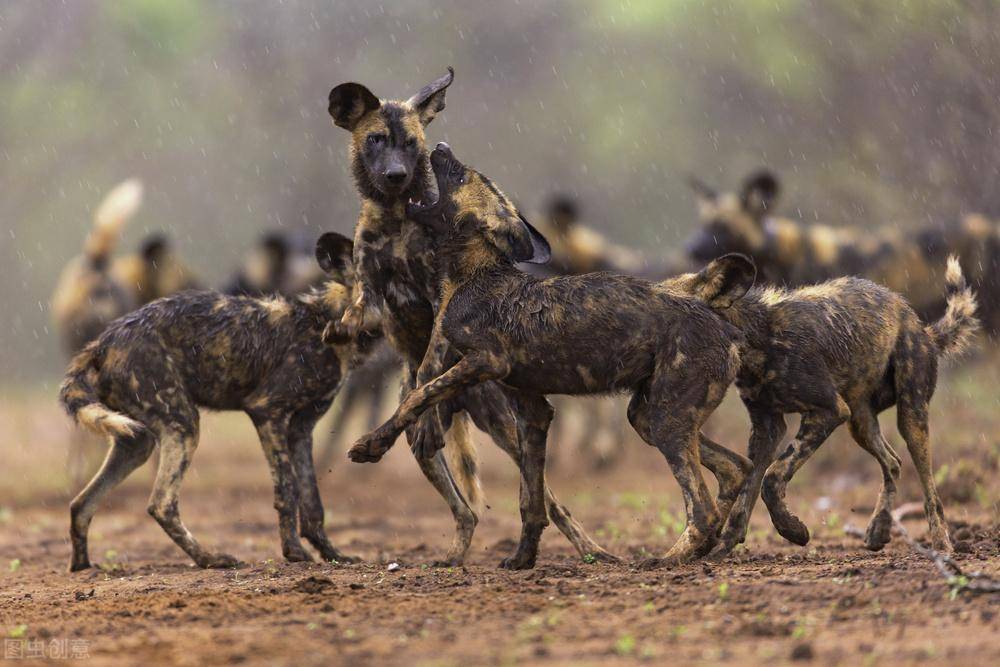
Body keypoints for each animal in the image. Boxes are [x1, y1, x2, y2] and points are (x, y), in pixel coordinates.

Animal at [59, 232, 378, 572]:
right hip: (183, 425)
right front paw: (294, 552)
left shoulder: (301, 428)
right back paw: (210, 559)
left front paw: (332, 554)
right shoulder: (267, 410)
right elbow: (288, 489)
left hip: (136, 441)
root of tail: (101, 344)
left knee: (81, 503)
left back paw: (82, 566)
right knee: (161, 504)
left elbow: (313, 501)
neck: (327, 320)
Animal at [328, 70, 612, 568]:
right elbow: (358, 305)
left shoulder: (438, 296)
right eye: (376, 140)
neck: (397, 217)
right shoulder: (368, 278)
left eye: (413, 145)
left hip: (504, 427)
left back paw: (588, 548)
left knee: (548, 499)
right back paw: (454, 552)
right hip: (426, 447)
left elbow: (429, 363)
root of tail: (461, 403)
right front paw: (342, 329)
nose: (397, 175)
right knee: (465, 508)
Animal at [346, 145, 752, 568]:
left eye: (461, 176)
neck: (472, 274)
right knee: (736, 467)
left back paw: (670, 558)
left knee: (701, 507)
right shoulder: (531, 411)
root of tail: (726, 327)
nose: (440, 147)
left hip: (666, 420)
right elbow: (531, 499)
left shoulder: (486, 361)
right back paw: (712, 547)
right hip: (648, 416)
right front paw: (523, 558)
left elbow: (417, 396)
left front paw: (371, 445)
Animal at [668, 253, 980, 556]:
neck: (757, 337)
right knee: (892, 463)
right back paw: (878, 530)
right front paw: (724, 545)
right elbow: (749, 488)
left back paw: (942, 544)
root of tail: (920, 325)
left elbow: (772, 477)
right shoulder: (766, 429)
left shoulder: (828, 411)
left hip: (910, 416)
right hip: (860, 423)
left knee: (929, 487)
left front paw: (793, 530)